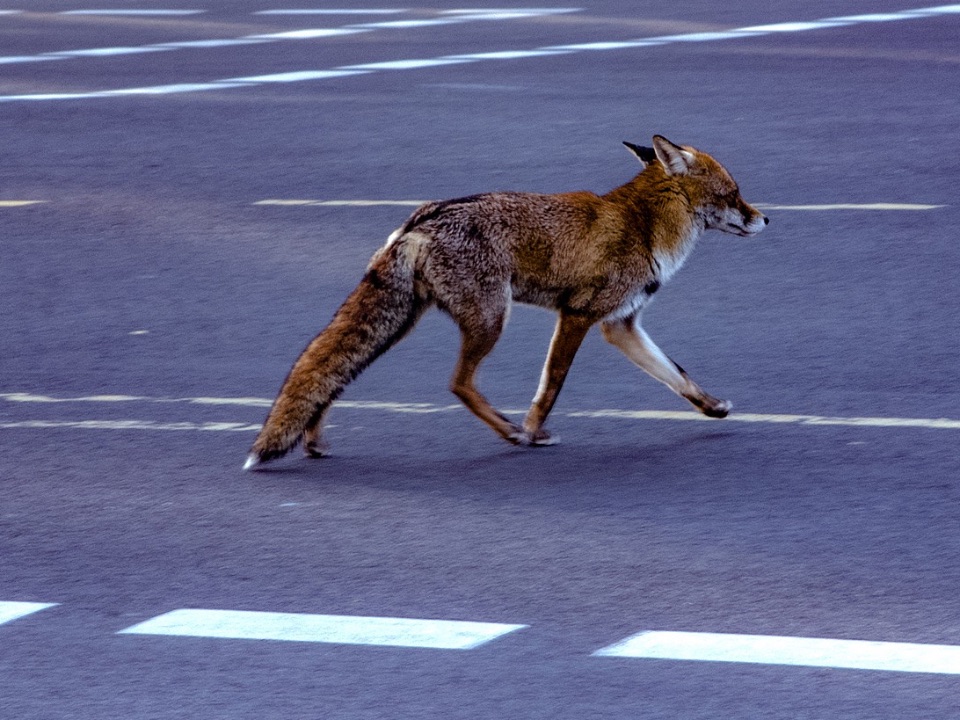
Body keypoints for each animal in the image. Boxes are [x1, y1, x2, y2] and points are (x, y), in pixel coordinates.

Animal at [244, 136, 768, 470]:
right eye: (734, 194)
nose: (766, 219)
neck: (643, 225)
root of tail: (421, 218)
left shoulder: (620, 325)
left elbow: (677, 376)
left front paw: (712, 408)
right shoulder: (579, 315)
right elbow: (551, 385)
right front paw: (534, 431)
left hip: (403, 322)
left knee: (331, 374)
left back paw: (313, 440)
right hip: (491, 320)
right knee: (458, 383)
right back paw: (510, 431)